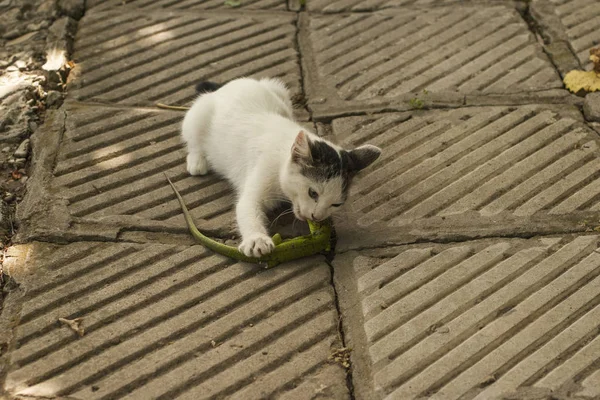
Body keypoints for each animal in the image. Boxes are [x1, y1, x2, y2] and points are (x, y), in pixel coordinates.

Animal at [180, 77, 382, 258]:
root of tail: (228, 85)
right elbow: (246, 207)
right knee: (193, 138)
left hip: (279, 89)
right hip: (197, 114)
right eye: (313, 193)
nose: (316, 216)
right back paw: (197, 161)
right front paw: (257, 239)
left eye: (336, 204)